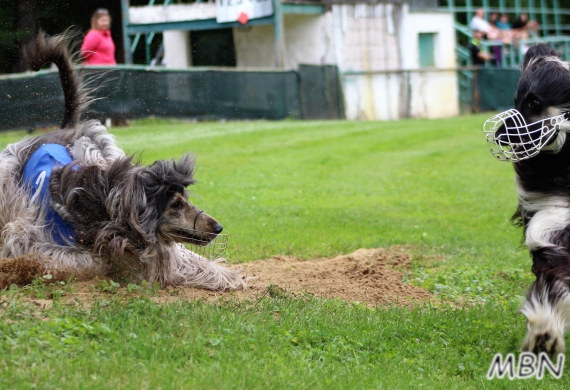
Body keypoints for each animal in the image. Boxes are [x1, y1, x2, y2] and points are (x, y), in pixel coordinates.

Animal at [0, 32, 243, 290]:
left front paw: (225, 274)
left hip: (100, 146)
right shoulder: (27, 239)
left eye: (185, 199)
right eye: (176, 204)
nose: (218, 228)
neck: (102, 205)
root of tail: (59, 132)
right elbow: (88, 259)